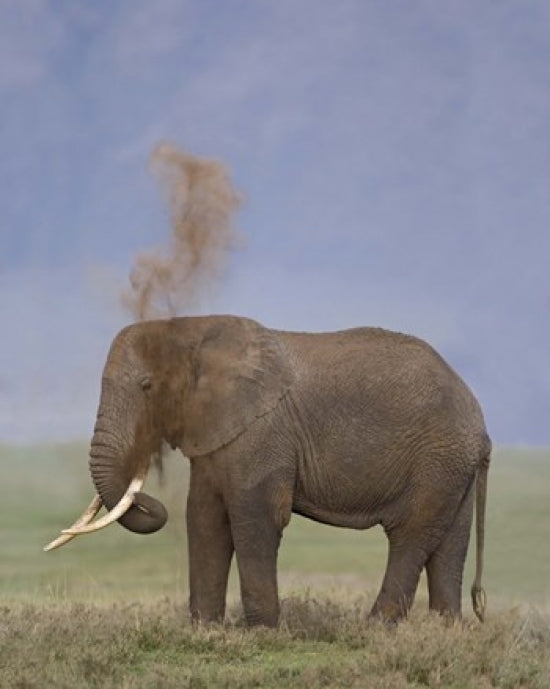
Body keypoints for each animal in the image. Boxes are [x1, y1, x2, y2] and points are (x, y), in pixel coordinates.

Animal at [45, 315, 491, 627]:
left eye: (146, 386)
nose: (147, 498)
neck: (192, 329)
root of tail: (480, 422)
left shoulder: (261, 434)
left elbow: (255, 516)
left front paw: (262, 631)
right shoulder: (216, 436)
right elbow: (203, 518)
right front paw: (205, 630)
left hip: (438, 458)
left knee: (410, 536)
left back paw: (374, 628)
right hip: (453, 466)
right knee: (450, 541)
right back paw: (444, 631)